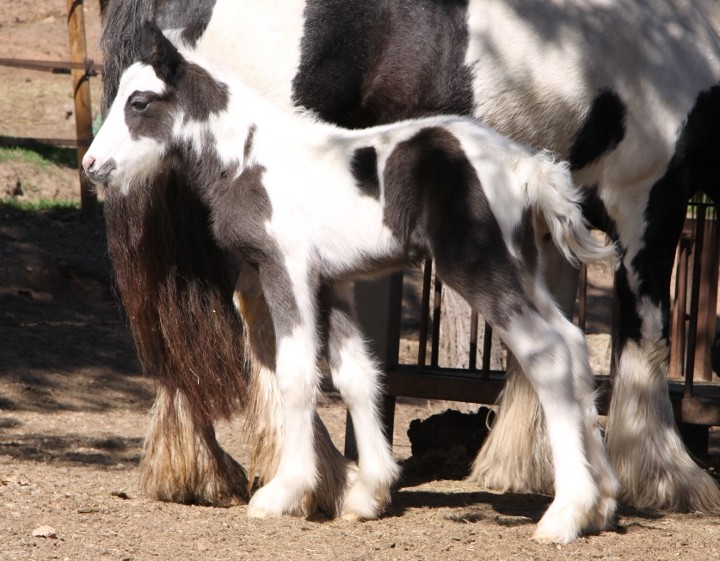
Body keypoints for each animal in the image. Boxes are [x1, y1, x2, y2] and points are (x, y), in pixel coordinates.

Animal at [100, 0, 720, 516]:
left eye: (139, 101)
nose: (93, 166)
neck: (255, 155)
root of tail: (526, 166)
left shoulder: (290, 270)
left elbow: (300, 370)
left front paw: (286, 493)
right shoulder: (332, 281)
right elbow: (356, 374)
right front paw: (365, 493)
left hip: (481, 268)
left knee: (550, 350)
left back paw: (571, 510)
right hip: (513, 267)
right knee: (567, 343)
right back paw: (599, 498)